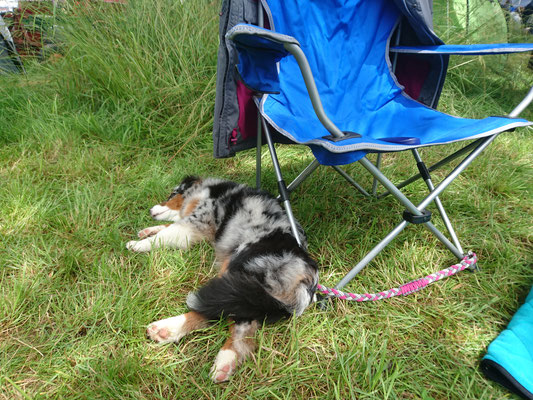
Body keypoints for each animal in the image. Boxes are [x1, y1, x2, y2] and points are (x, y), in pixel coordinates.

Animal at [125, 177, 316, 382]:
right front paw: (147, 231)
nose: (150, 210)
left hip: (237, 275)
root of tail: (306, 278)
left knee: (232, 319)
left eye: (171, 194)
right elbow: (166, 227)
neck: (208, 191)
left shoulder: (196, 223)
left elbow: (165, 234)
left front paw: (138, 244)